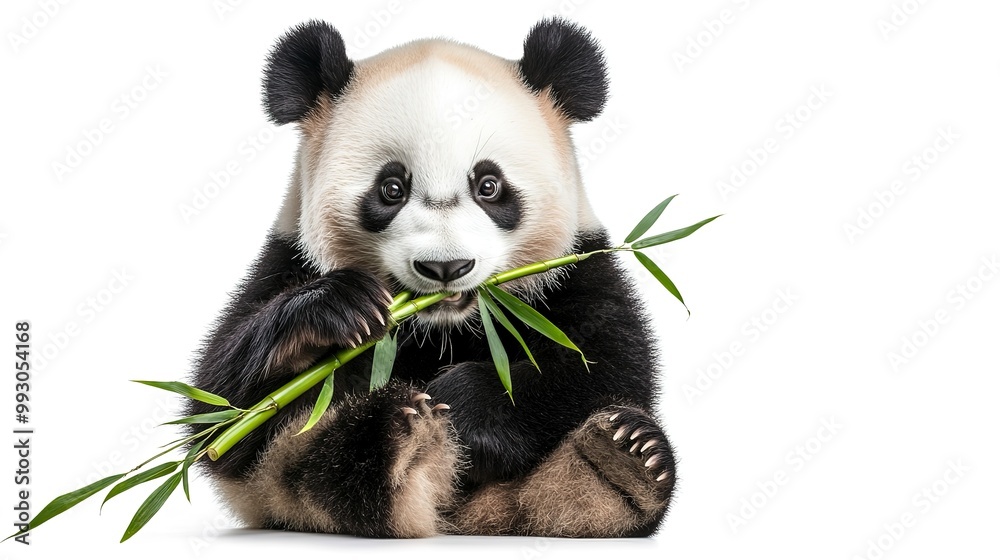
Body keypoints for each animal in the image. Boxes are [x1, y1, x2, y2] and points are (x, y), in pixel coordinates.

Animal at [187, 17, 676, 538]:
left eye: (489, 186)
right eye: (391, 188)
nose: (446, 268)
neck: (444, 327)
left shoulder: (573, 267)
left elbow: (603, 364)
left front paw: (465, 404)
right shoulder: (289, 258)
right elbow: (220, 413)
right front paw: (338, 312)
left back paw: (621, 461)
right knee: (317, 461)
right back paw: (399, 430)